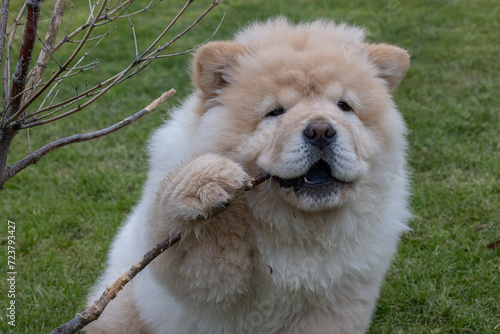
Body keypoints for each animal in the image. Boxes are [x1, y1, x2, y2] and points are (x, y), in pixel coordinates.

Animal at [86, 18, 412, 334]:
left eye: (344, 106)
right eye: (275, 111)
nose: (321, 130)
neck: (298, 229)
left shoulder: (336, 303)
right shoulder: (205, 275)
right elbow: (199, 248)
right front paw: (208, 184)